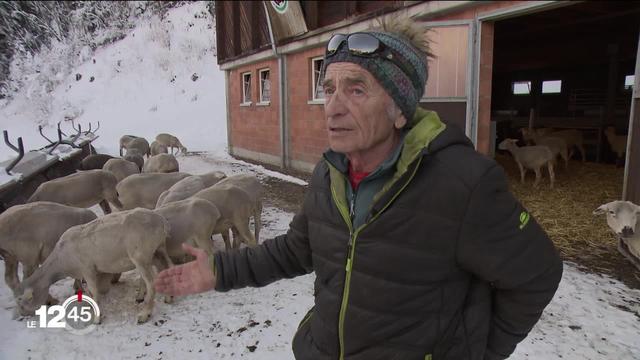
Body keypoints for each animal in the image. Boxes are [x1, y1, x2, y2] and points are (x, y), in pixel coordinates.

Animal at [14, 208, 172, 324]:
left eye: (22, 303)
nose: (22, 315)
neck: (60, 261)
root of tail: (161, 221)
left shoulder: (87, 268)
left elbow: (94, 290)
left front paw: (96, 318)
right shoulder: (82, 272)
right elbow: (86, 289)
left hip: (141, 255)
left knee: (151, 283)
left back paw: (145, 314)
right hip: (159, 249)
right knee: (168, 267)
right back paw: (169, 297)